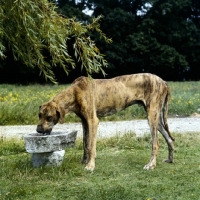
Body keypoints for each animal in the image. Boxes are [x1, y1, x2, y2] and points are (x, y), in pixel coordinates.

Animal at [36, 74, 174, 171]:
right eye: (39, 115)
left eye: (49, 117)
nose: (38, 130)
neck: (76, 92)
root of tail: (163, 82)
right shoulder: (84, 121)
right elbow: (85, 143)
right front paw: (84, 160)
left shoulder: (93, 121)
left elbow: (91, 145)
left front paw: (90, 165)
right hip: (156, 120)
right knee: (169, 138)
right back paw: (170, 159)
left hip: (152, 117)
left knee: (156, 143)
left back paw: (151, 165)